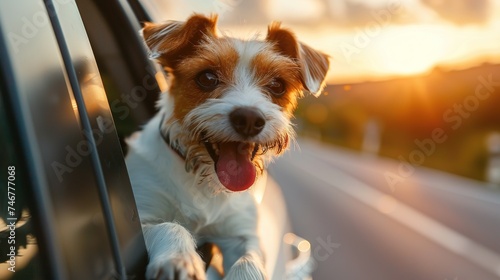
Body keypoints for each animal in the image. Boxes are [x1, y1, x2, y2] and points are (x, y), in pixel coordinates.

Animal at [125, 13, 328, 280]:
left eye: (277, 85)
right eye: (207, 78)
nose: (249, 119)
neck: (203, 181)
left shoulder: (242, 236)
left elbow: (248, 262)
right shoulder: (143, 218)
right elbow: (170, 226)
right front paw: (179, 259)